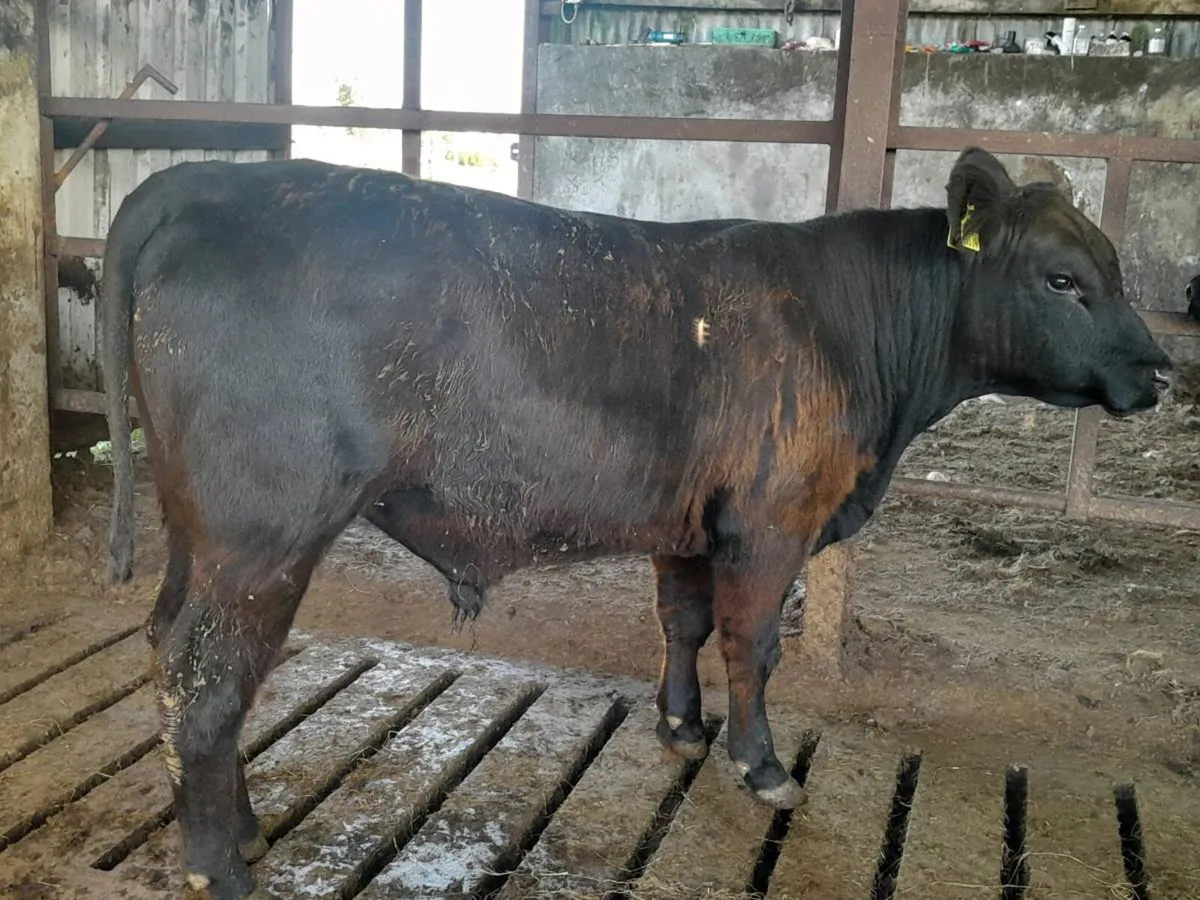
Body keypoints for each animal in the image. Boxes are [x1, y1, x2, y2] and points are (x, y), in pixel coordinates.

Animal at [100, 147, 1171, 899]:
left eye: (1113, 272)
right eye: (1063, 279)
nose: (1163, 369)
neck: (847, 327)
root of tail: (200, 181)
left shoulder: (691, 527)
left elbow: (684, 624)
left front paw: (681, 726)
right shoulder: (769, 527)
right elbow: (752, 648)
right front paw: (761, 764)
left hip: (197, 532)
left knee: (169, 650)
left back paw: (239, 828)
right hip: (263, 537)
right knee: (206, 683)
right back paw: (221, 865)